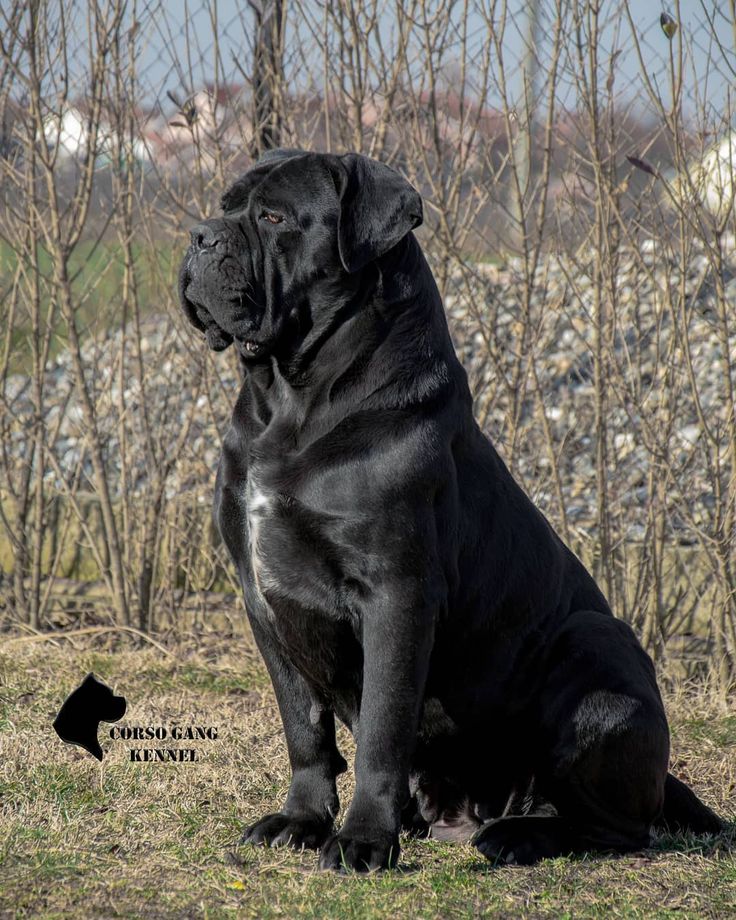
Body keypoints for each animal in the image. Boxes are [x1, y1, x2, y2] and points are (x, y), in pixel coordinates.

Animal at [180, 149, 724, 868]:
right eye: (225, 205)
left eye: (273, 217)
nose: (199, 235)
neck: (291, 403)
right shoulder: (263, 597)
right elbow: (304, 727)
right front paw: (302, 820)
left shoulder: (396, 593)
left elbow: (382, 727)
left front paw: (362, 840)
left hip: (595, 648)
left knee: (614, 827)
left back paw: (514, 835)